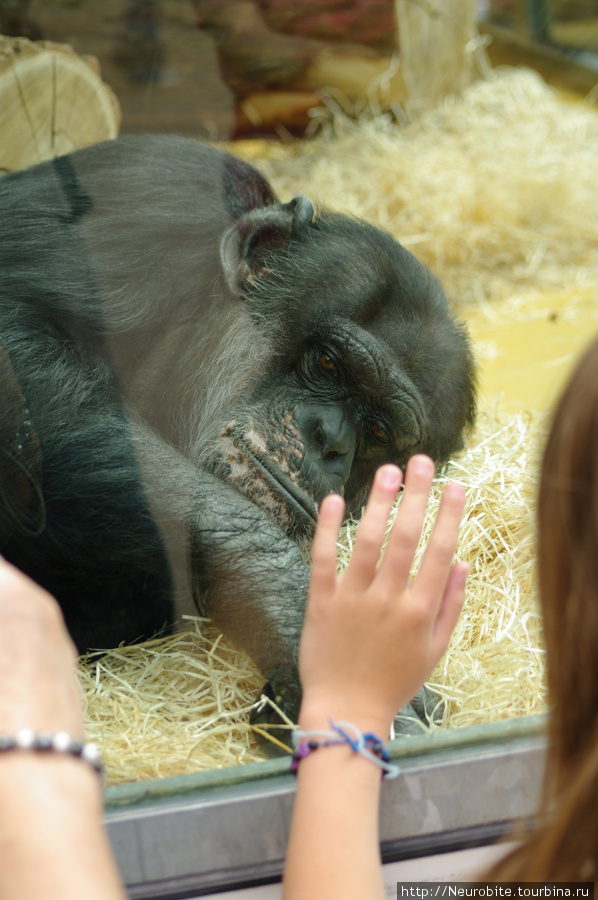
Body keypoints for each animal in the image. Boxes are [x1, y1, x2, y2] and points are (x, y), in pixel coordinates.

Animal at [1, 139, 478, 732]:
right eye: (328, 363)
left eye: (379, 429)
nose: (330, 442)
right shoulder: (145, 197)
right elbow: (16, 333)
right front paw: (308, 620)